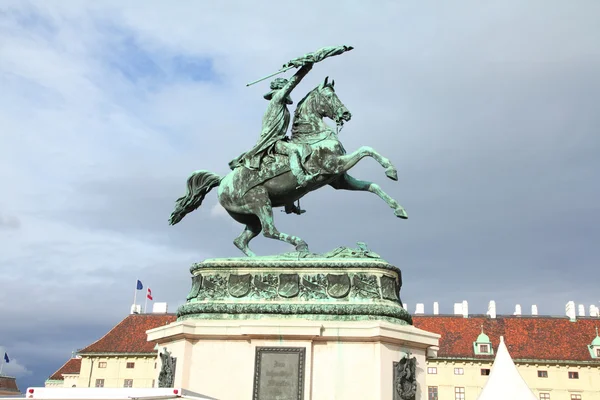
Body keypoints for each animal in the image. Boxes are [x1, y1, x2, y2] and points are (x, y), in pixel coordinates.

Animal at [169, 76, 408, 255]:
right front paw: (391, 169)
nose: (346, 114)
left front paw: (399, 209)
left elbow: (372, 186)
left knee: (242, 240)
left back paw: (259, 261)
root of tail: (222, 183)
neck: (313, 135)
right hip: (260, 202)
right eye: (329, 96)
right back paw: (299, 246)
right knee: (269, 231)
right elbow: (366, 149)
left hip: (250, 217)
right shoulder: (334, 165)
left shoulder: (339, 180)